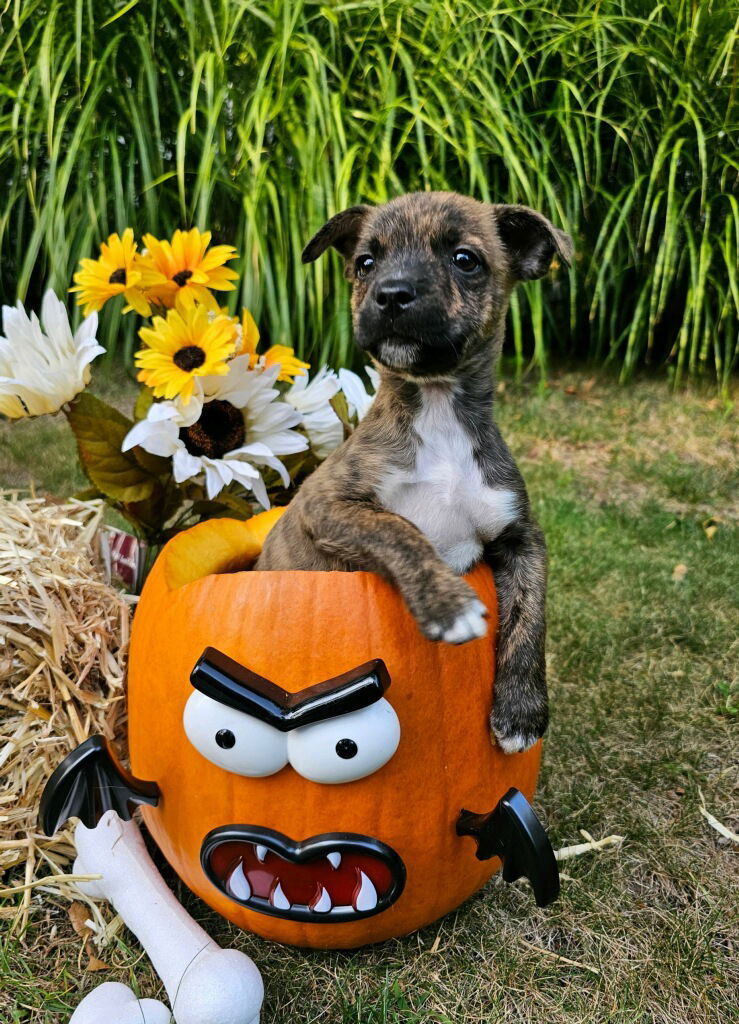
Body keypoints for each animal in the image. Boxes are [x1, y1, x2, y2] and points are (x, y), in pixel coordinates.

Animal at [255, 192, 573, 753]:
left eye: (465, 259)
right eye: (366, 262)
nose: (391, 294)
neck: (438, 410)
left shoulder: (520, 532)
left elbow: (532, 612)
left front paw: (521, 711)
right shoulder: (326, 503)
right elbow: (398, 529)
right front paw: (449, 605)